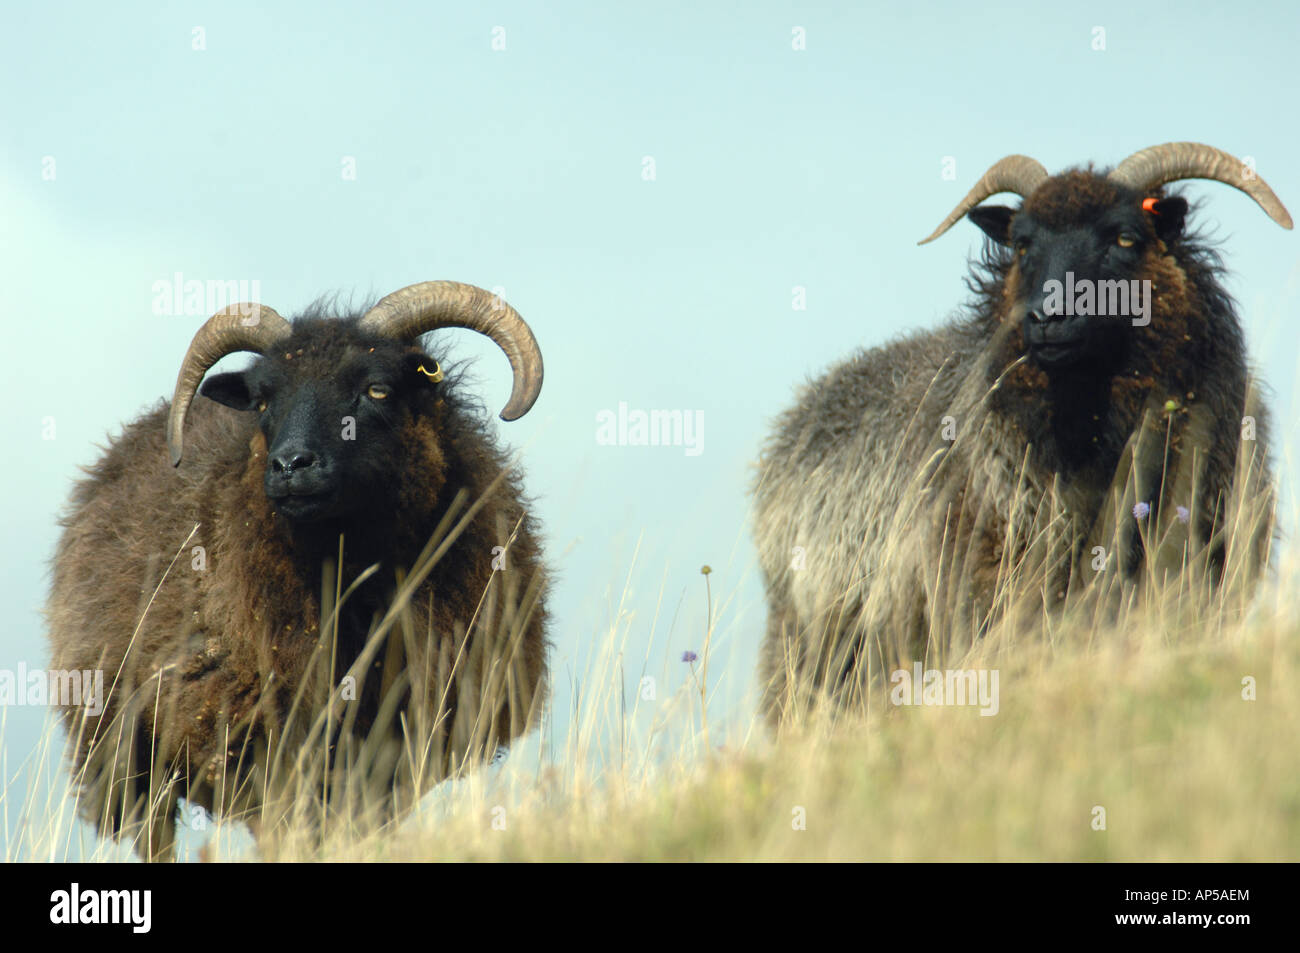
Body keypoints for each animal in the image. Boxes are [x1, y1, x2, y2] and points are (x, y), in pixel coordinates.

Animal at [46, 280, 549, 860]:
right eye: (264, 400)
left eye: (378, 389)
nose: (290, 466)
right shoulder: (265, 744)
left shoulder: (400, 744)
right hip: (123, 757)